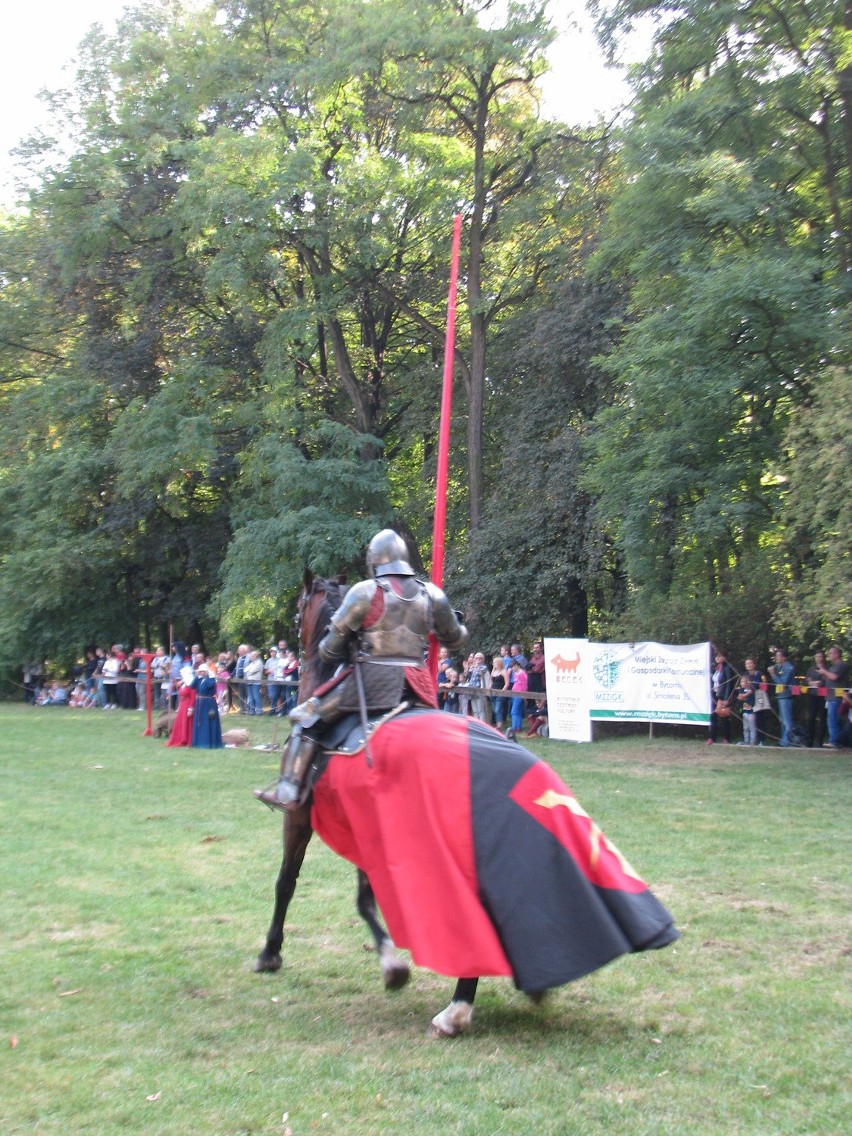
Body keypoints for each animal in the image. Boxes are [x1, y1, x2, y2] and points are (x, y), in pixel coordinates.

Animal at [253, 572, 681, 1036]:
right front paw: (392, 965)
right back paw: (533, 987)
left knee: (474, 931)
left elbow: (288, 883)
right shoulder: (368, 830)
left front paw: (272, 953)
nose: (294, 642)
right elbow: (364, 898)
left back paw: (457, 1009)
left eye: (300, 613)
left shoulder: (303, 816)